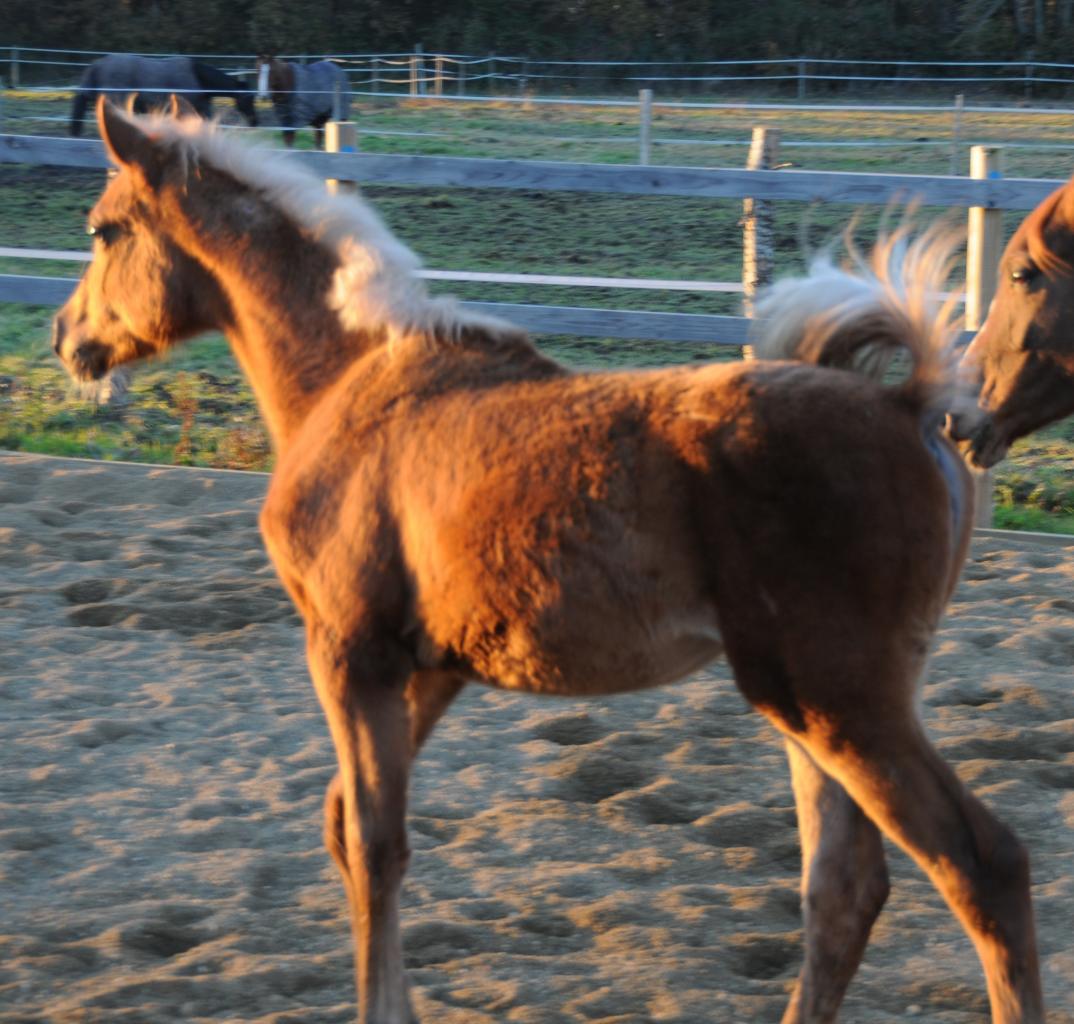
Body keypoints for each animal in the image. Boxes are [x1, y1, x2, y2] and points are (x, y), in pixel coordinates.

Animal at [50, 97, 1039, 1022]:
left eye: (102, 229)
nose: (68, 338)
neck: (348, 380)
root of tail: (909, 407)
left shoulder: (348, 649)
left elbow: (375, 844)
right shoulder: (430, 666)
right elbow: (348, 828)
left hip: (840, 700)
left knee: (980, 865)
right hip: (805, 706)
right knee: (842, 888)